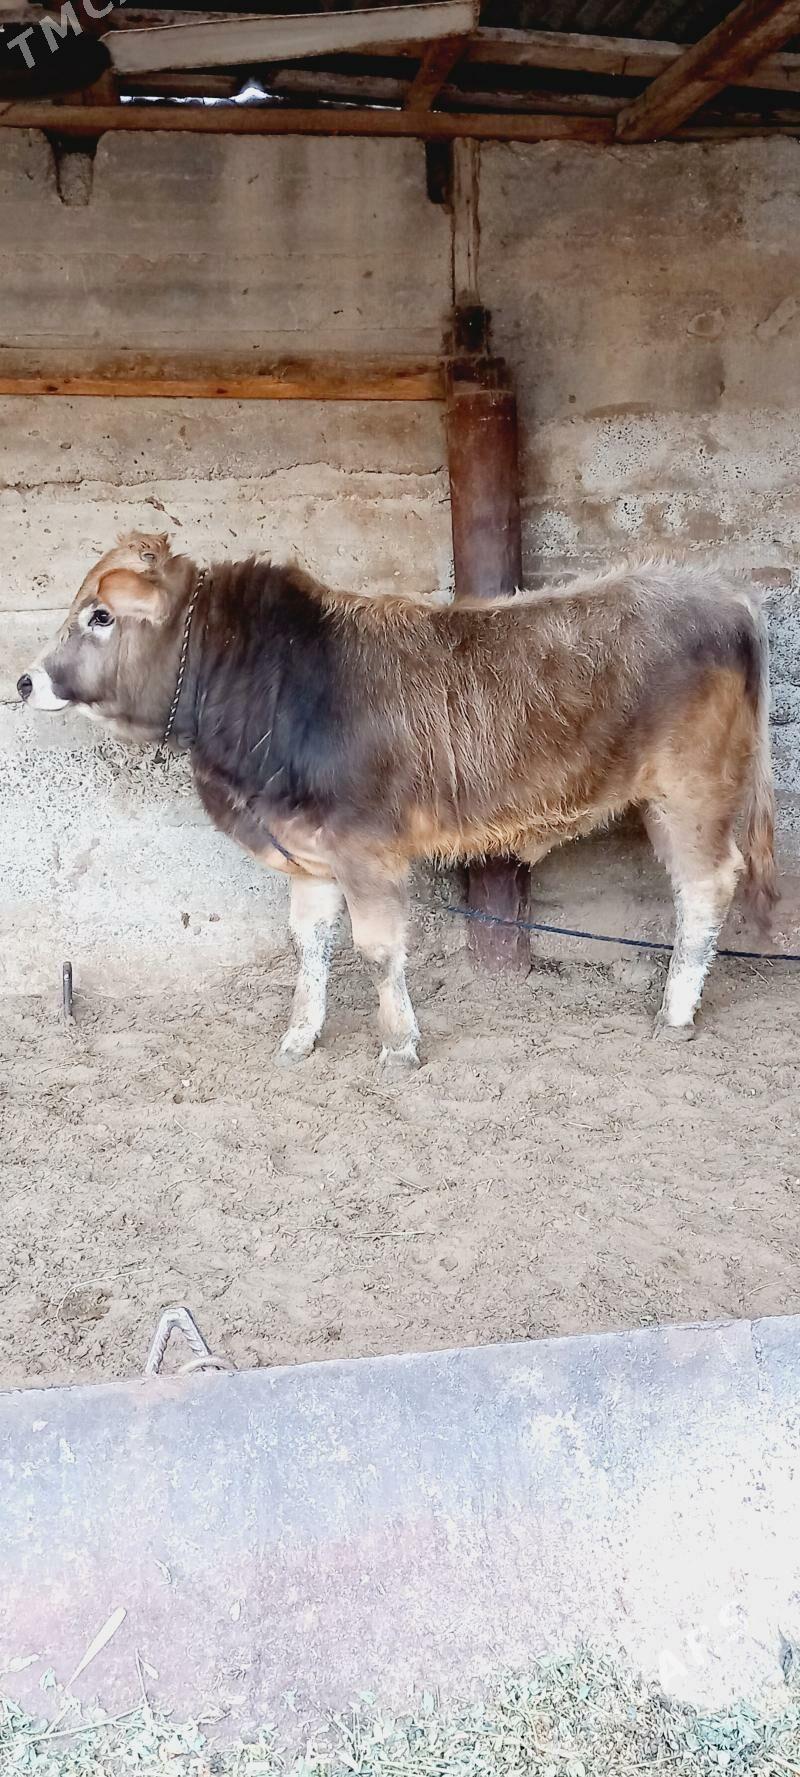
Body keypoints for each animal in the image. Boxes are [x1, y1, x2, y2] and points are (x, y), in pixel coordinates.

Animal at [18, 532, 777, 1066]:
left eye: (101, 615)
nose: (26, 680)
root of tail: (722, 592)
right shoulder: (310, 856)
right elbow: (311, 945)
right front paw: (299, 1037)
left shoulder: (367, 850)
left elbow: (378, 949)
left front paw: (398, 1045)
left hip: (692, 791)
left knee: (706, 886)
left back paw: (675, 1014)